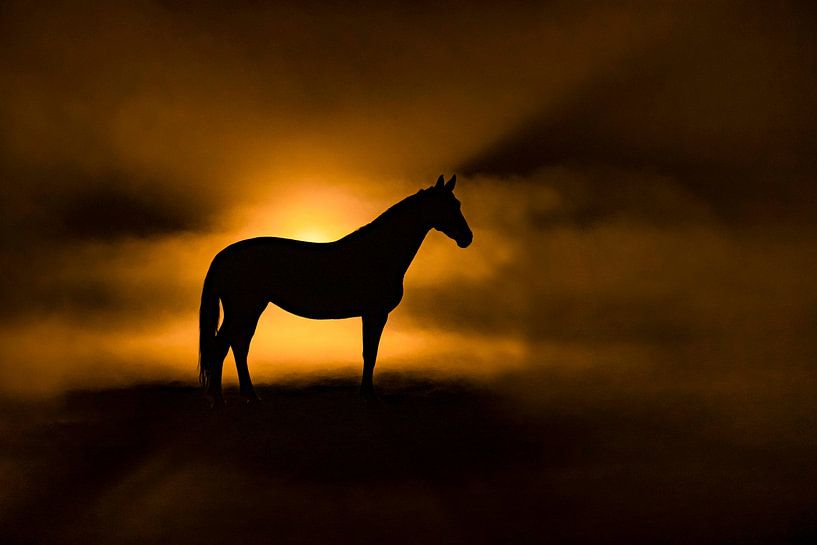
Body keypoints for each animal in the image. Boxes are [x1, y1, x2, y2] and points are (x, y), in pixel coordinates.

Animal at [198, 174, 472, 406]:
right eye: (448, 205)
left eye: (457, 203)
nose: (467, 238)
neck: (379, 252)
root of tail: (225, 254)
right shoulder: (375, 313)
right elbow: (370, 353)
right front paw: (369, 396)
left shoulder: (372, 314)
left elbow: (369, 353)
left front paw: (366, 394)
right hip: (244, 310)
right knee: (222, 346)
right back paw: (219, 400)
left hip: (252, 309)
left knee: (238, 346)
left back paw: (250, 396)